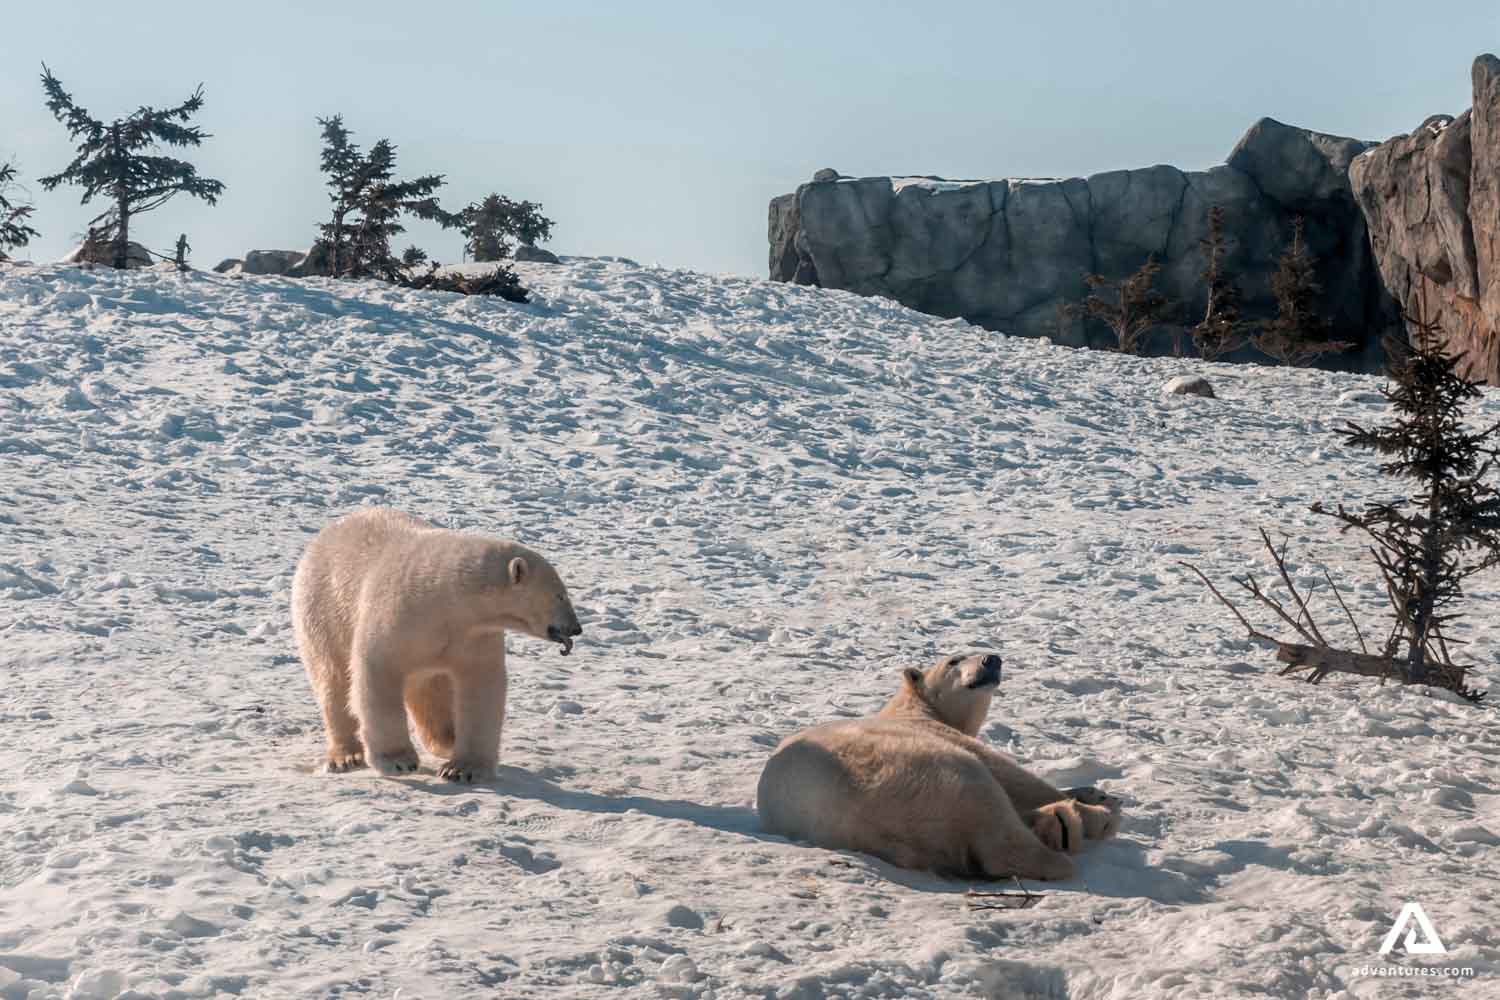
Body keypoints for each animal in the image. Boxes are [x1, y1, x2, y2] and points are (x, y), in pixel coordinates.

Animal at [291, 508, 583, 782]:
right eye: (560, 595)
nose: (576, 628)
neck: (445, 596)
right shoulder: (396, 615)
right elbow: (377, 672)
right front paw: (398, 761)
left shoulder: (473, 633)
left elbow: (480, 685)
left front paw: (463, 769)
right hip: (323, 610)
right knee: (333, 680)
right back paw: (346, 756)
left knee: (428, 688)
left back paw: (447, 740)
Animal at [755, 652, 1122, 881]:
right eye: (954, 660)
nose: (992, 659)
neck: (911, 707)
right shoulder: (935, 734)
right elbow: (1012, 775)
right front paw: (1102, 803)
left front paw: (1092, 792)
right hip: (924, 773)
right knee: (994, 818)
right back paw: (1071, 830)